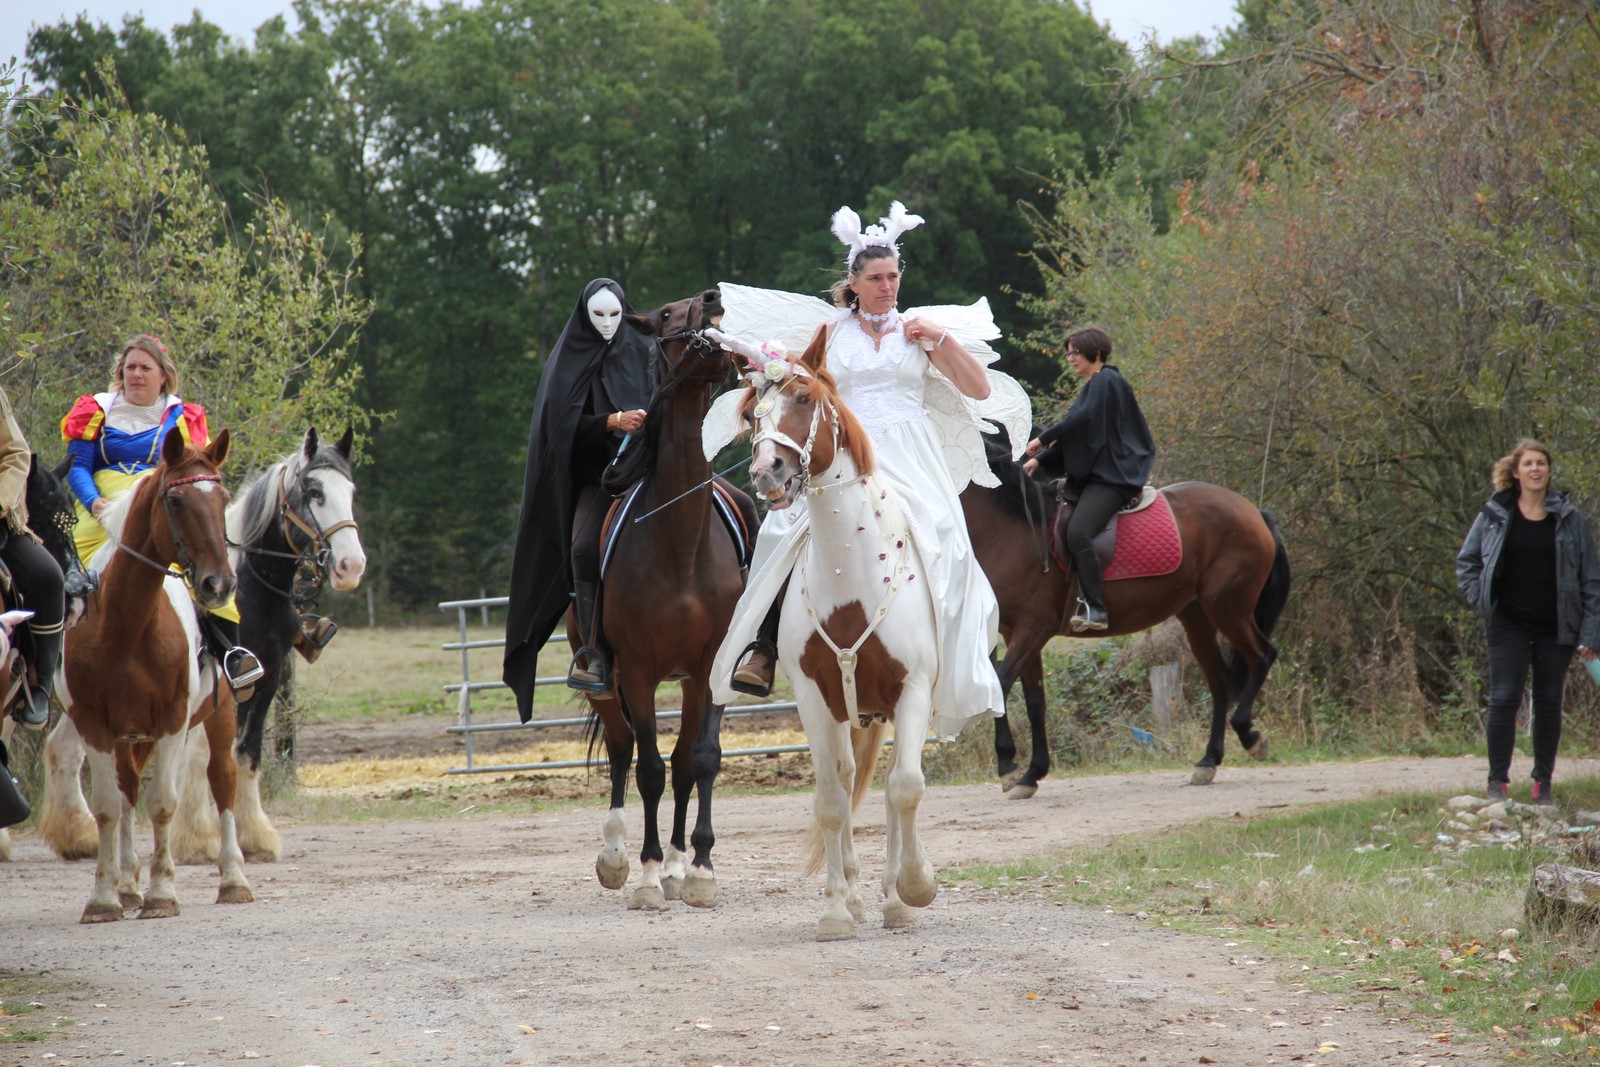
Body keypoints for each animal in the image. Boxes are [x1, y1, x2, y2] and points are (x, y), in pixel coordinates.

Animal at [42, 428, 253, 921]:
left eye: (223, 498)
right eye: (175, 501)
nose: (219, 584)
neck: (127, 625)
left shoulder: (173, 720)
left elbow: (163, 805)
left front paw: (162, 893)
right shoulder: (95, 724)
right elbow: (108, 807)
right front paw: (105, 897)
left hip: (219, 716)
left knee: (222, 780)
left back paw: (233, 879)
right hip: (127, 737)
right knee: (126, 793)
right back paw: (127, 885)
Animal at [581, 287, 752, 910]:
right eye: (667, 315)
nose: (715, 296)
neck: (680, 544)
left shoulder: (709, 669)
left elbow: (696, 761)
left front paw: (695, 868)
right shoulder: (636, 670)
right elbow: (649, 767)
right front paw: (649, 874)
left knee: (676, 762)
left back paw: (679, 864)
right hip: (607, 676)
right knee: (621, 747)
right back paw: (615, 856)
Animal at [729, 334, 941, 942]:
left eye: (804, 398)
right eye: (752, 414)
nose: (768, 470)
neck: (854, 575)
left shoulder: (911, 691)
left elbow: (906, 786)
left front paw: (914, 887)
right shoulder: (813, 699)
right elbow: (829, 801)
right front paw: (835, 911)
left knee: (891, 785)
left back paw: (892, 898)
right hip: (847, 711)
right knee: (847, 782)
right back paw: (854, 895)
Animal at [959, 435, 1291, 793]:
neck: (1012, 530)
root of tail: (1254, 512)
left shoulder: (1033, 629)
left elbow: (1001, 683)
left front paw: (1009, 766)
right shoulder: (1015, 632)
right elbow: (1034, 701)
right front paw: (1030, 772)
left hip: (1228, 608)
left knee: (1261, 656)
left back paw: (1249, 736)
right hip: (1198, 616)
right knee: (1219, 680)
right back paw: (1208, 761)